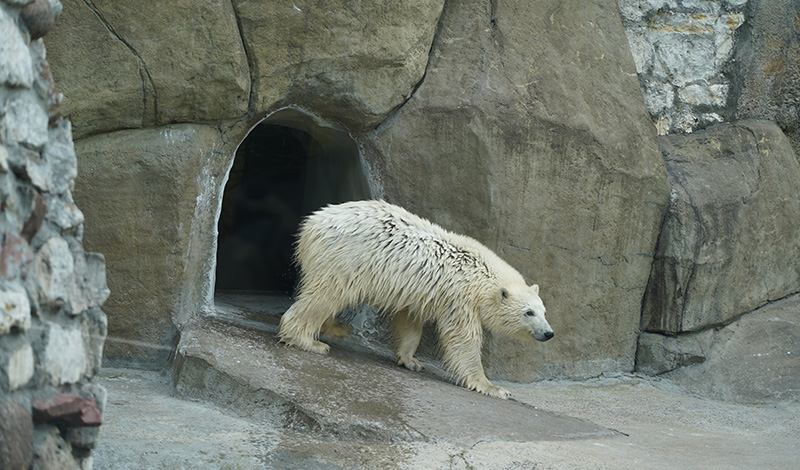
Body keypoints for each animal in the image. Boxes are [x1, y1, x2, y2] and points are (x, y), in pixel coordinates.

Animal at [278, 200, 552, 398]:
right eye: (529, 312)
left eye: (544, 311)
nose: (548, 333)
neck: (481, 274)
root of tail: (313, 224)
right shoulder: (459, 298)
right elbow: (463, 339)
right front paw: (492, 387)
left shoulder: (420, 293)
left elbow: (409, 321)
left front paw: (412, 361)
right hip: (346, 258)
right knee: (326, 295)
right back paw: (308, 341)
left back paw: (336, 328)